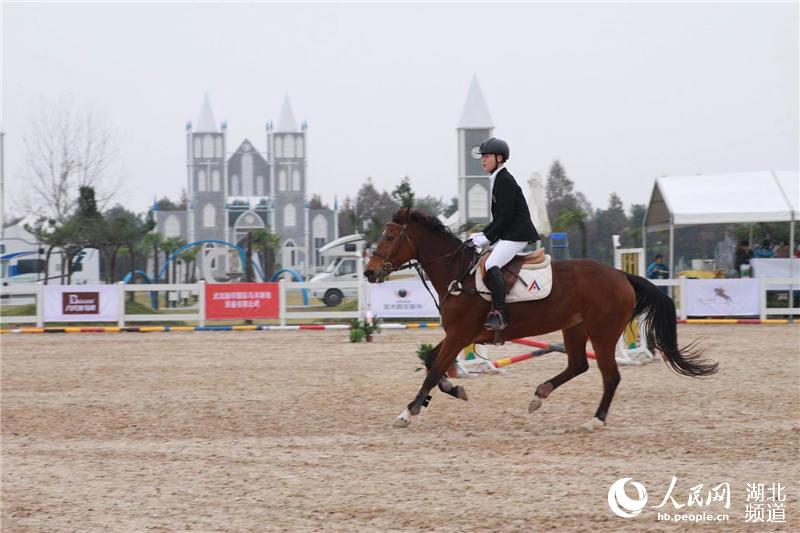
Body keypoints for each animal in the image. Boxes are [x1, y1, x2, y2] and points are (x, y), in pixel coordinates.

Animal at [366, 208, 716, 428]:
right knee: (578, 365)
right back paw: (540, 395)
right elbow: (430, 362)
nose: (370, 273)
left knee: (610, 375)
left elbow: (433, 370)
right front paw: (453, 390)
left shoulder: (459, 335)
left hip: (602, 333)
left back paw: (595, 420)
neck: (457, 271)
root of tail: (621, 275)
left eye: (389, 237)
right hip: (574, 328)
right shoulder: (458, 336)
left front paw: (408, 412)